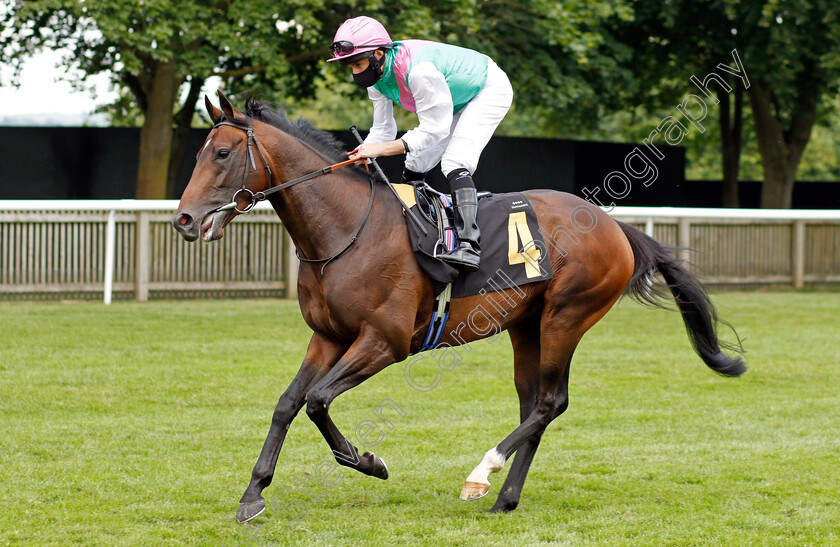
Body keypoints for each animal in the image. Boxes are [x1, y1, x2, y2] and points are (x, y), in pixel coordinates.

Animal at [172, 92, 748, 524]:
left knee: (551, 402)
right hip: (527, 325)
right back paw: (504, 497)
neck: (347, 229)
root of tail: (613, 226)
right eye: (200, 153)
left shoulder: (384, 341)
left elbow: (316, 400)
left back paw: (481, 474)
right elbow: (288, 403)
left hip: (567, 316)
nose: (184, 219)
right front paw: (253, 494)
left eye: (221, 154)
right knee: (533, 403)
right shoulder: (328, 336)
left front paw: (368, 462)